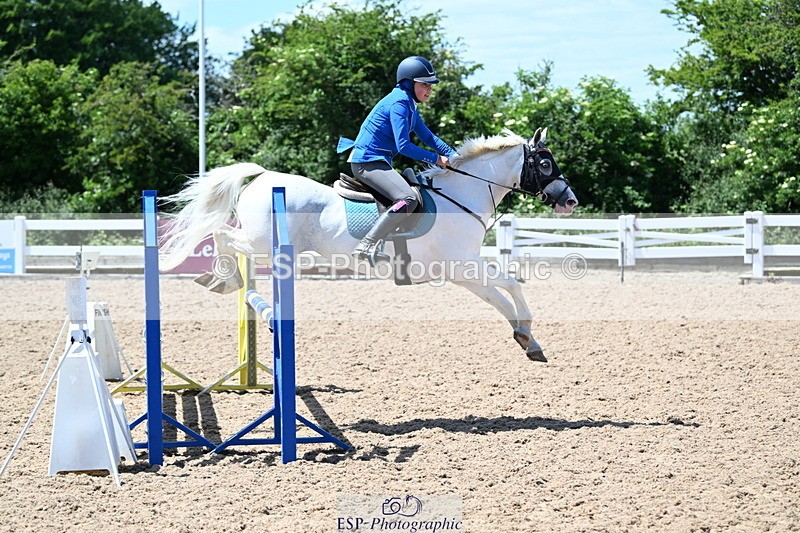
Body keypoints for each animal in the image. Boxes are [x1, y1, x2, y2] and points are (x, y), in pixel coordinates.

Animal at [159, 127, 578, 362]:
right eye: (545, 164)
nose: (570, 201)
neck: (461, 195)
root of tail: (262, 177)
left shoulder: (461, 271)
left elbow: (498, 298)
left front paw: (527, 339)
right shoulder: (462, 265)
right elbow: (511, 284)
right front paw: (527, 330)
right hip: (261, 242)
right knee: (222, 234)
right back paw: (223, 278)